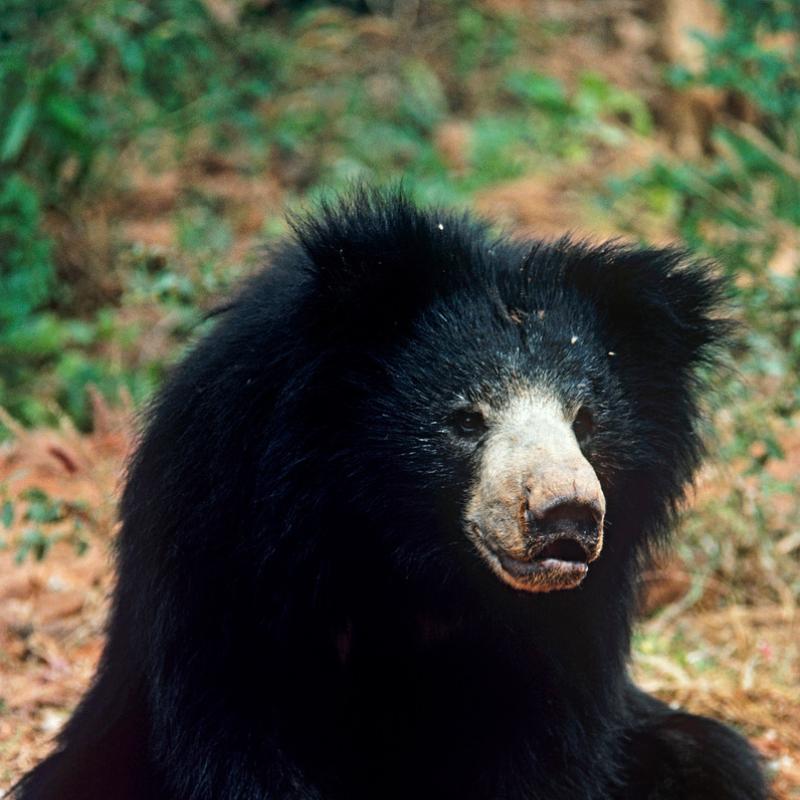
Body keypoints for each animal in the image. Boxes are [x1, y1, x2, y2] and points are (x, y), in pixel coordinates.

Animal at [13, 188, 766, 800]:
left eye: (586, 422)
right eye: (466, 419)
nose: (565, 516)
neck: (411, 556)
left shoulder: (567, 635)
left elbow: (544, 750)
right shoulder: (231, 548)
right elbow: (239, 730)